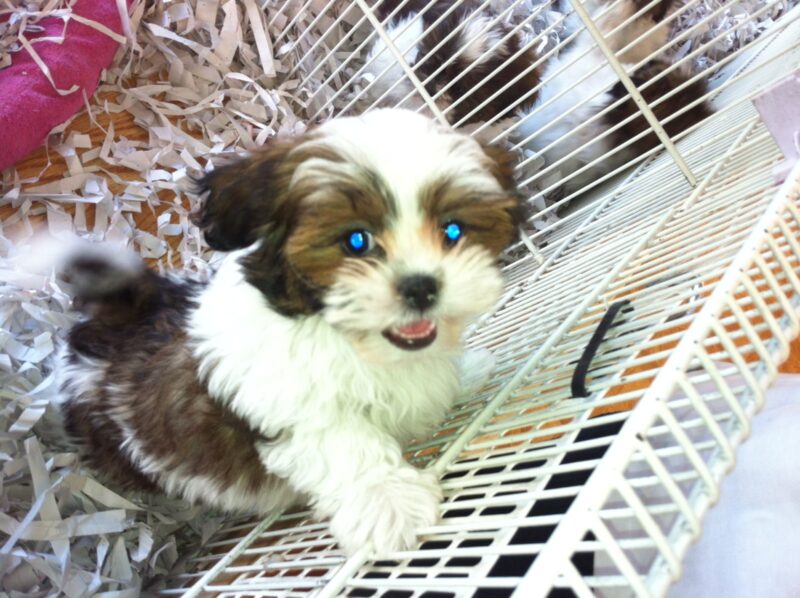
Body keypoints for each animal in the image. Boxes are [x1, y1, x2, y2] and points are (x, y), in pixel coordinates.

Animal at [51, 110, 524, 560]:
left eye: (453, 230)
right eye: (356, 241)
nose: (421, 286)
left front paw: (467, 371)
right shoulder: (291, 404)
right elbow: (345, 443)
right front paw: (386, 501)